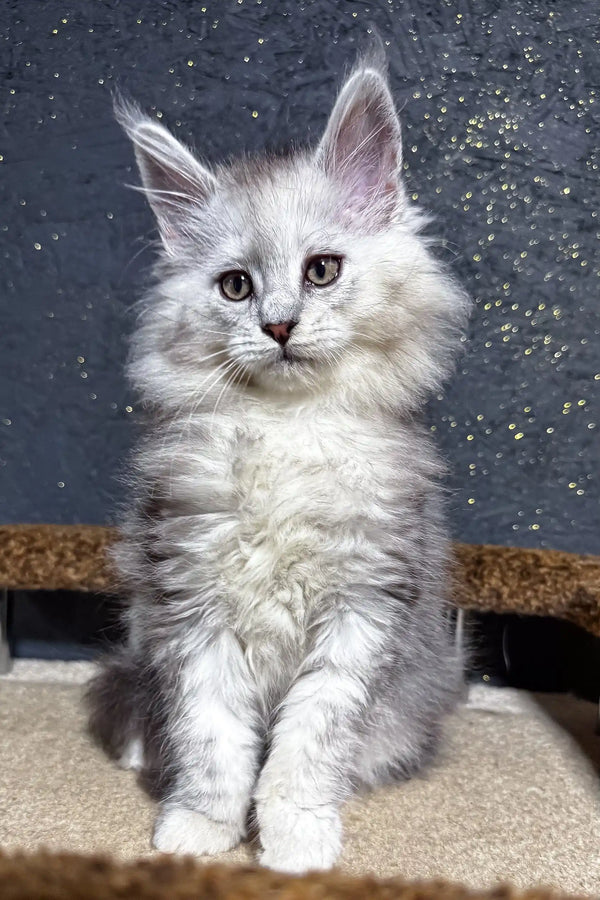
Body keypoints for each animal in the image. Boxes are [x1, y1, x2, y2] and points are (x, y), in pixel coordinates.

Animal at [86, 54, 472, 872]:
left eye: (322, 271)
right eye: (236, 286)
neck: (287, 432)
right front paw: (199, 829)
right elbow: (212, 741)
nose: (280, 325)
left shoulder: (365, 609)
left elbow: (306, 745)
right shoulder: (190, 603)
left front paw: (294, 835)